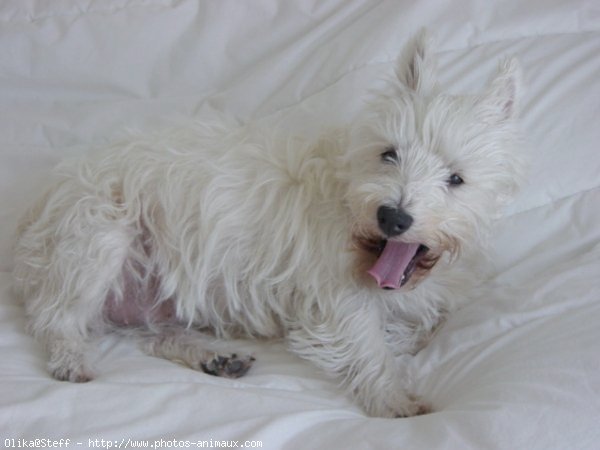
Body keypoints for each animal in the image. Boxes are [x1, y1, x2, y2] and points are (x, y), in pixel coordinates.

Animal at [11, 32, 524, 418]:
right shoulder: (334, 298)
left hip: (147, 288)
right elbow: (368, 346)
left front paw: (403, 339)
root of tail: (29, 217)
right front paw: (394, 400)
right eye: (389, 153)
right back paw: (71, 360)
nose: (392, 216)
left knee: (151, 332)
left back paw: (215, 356)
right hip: (98, 237)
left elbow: (426, 324)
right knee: (56, 317)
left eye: (456, 178)